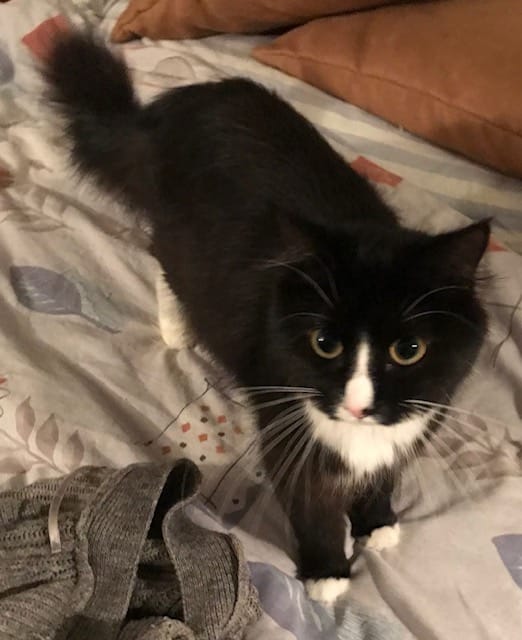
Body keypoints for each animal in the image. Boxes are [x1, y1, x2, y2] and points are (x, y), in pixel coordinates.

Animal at [44, 32, 489, 603]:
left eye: (408, 350)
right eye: (325, 344)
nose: (360, 406)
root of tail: (172, 108)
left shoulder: (417, 418)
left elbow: (384, 473)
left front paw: (377, 524)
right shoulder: (287, 428)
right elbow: (312, 505)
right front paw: (327, 573)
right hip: (182, 243)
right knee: (162, 260)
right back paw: (177, 329)